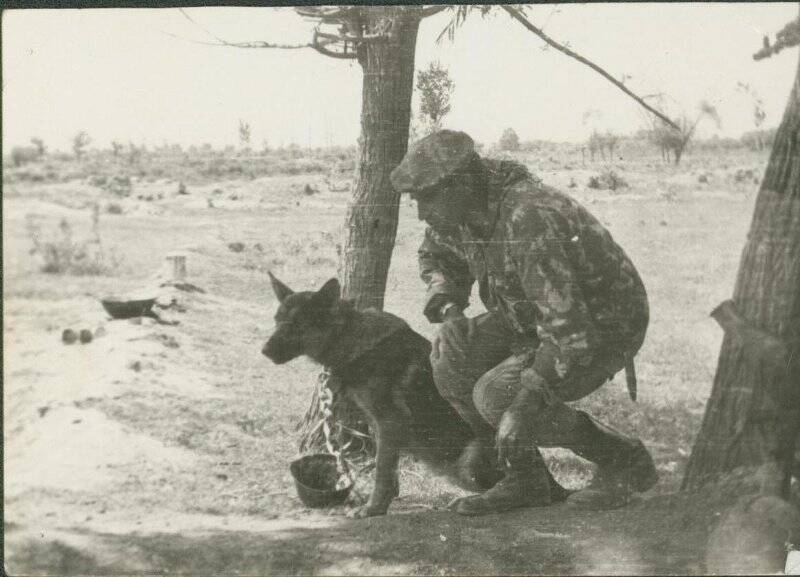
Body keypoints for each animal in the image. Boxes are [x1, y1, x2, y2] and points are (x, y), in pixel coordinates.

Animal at [262, 274, 568, 516]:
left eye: (297, 324)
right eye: (277, 321)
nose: (263, 351)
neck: (350, 339)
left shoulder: (388, 420)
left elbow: (382, 469)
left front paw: (373, 508)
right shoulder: (379, 424)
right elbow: (387, 468)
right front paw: (386, 500)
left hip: (468, 465)